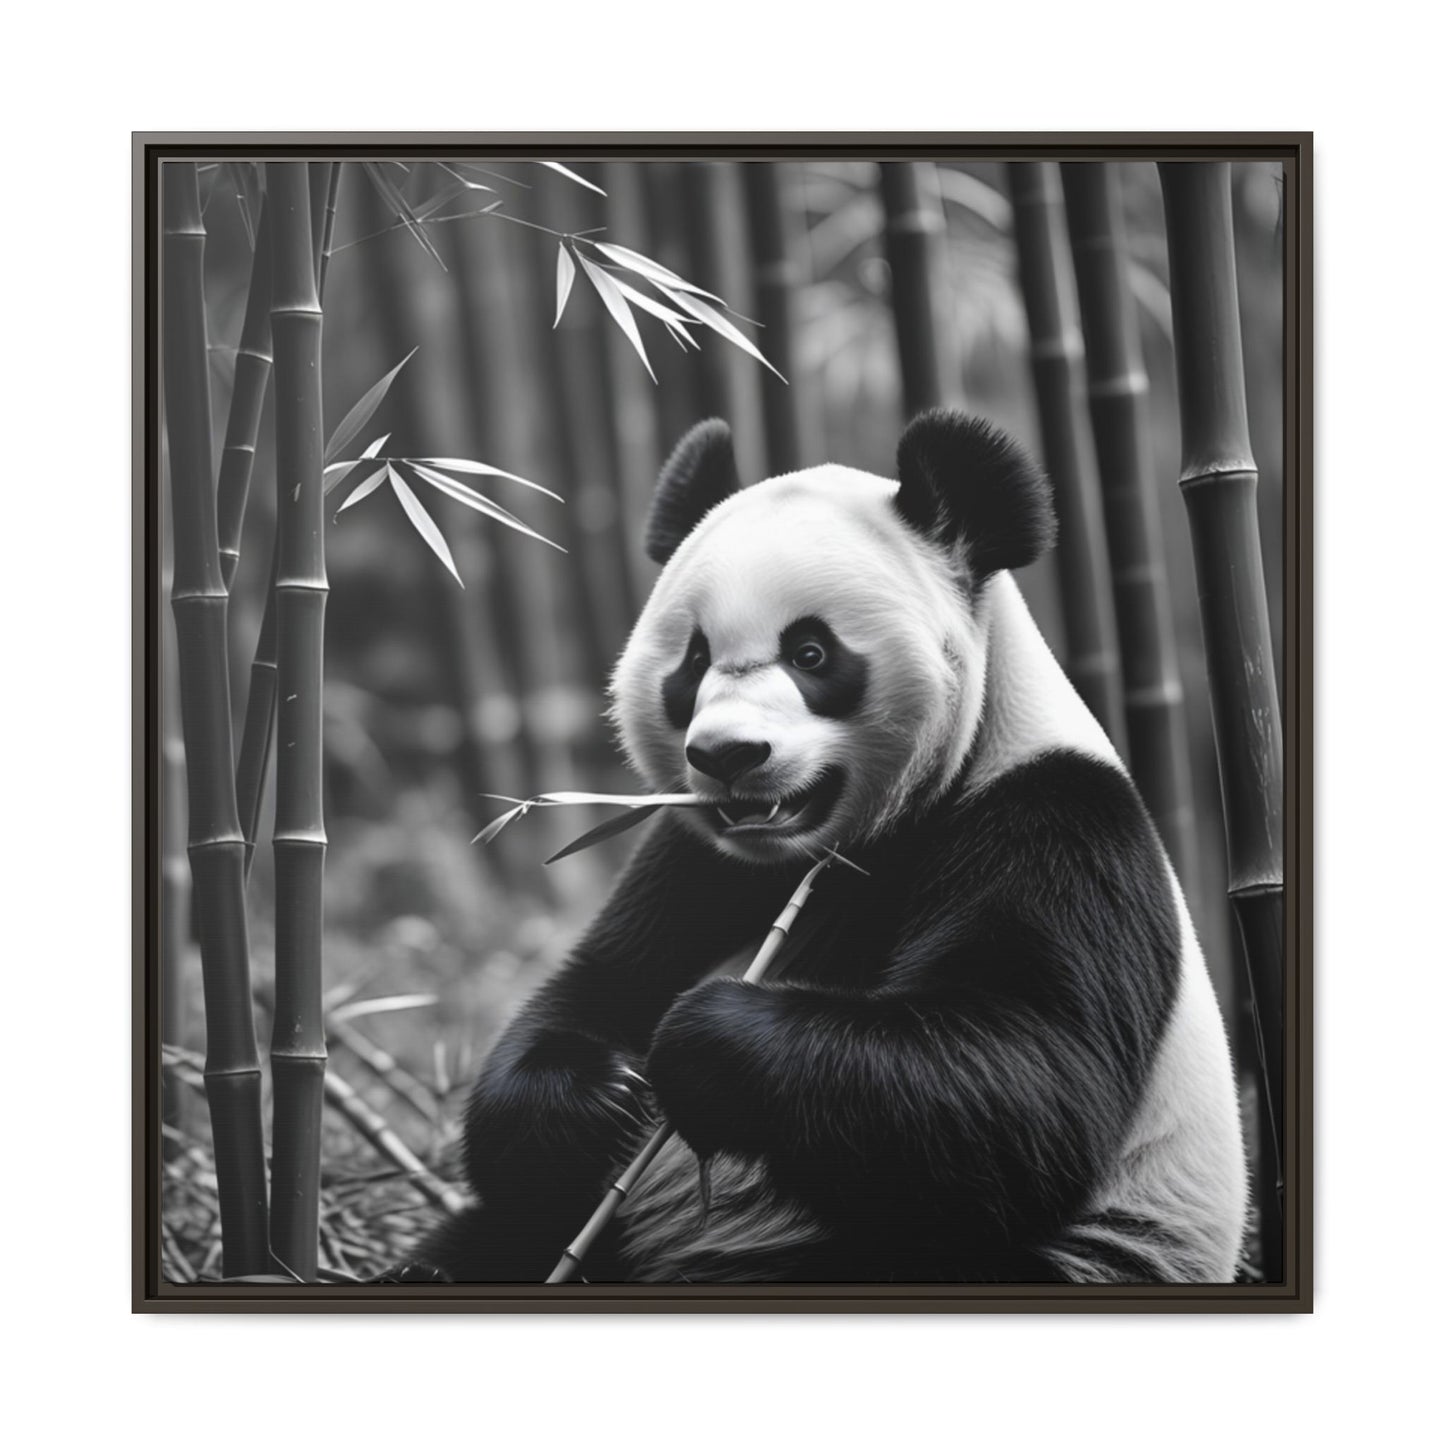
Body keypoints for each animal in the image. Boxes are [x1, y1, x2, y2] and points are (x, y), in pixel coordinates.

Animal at [403, 410, 1248, 1285]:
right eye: (694, 660)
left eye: (810, 652)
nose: (728, 754)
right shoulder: (695, 857)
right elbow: (591, 992)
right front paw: (600, 1096)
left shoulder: (1055, 821)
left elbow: (1024, 1079)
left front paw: (703, 1040)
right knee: (500, 1234)